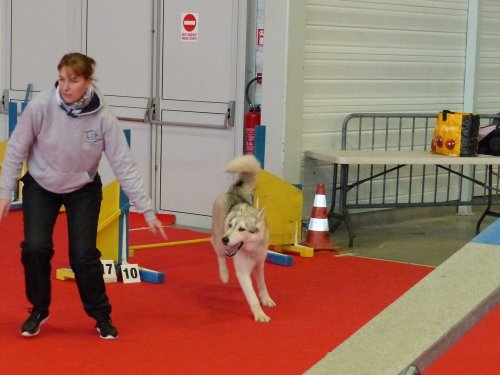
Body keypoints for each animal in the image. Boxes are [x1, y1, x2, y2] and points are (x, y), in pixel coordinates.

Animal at [209, 156, 276, 324]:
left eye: (241, 229)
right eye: (231, 225)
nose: (226, 239)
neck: (251, 249)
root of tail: (232, 192)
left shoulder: (259, 264)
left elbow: (262, 284)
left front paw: (266, 299)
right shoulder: (243, 272)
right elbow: (252, 295)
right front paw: (259, 314)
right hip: (218, 238)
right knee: (219, 253)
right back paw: (224, 275)